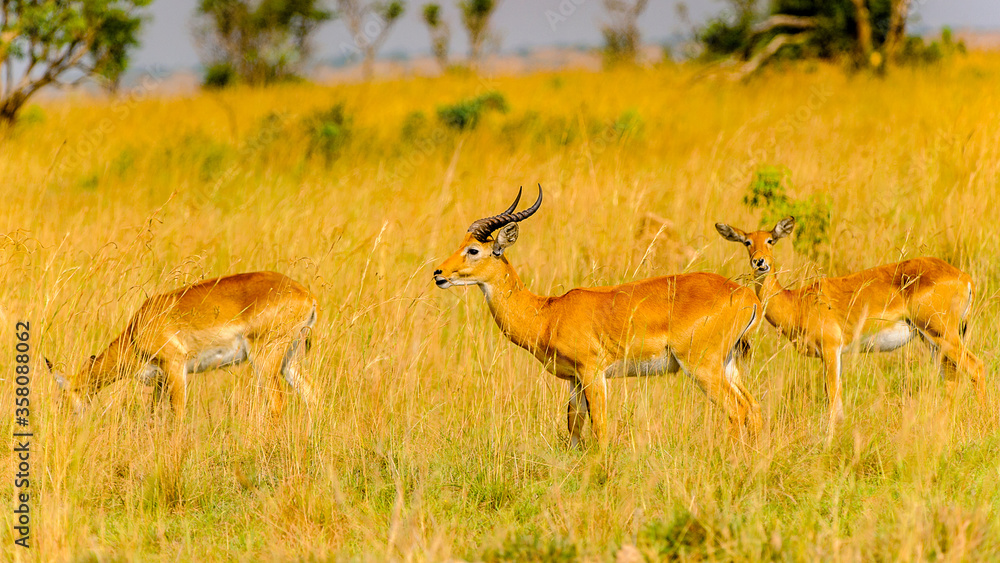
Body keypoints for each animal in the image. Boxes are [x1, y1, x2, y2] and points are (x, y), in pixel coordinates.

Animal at [46, 271, 318, 419]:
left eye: (63, 399)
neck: (138, 329)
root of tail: (307, 295)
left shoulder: (176, 368)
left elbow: (177, 413)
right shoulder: (159, 380)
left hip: (265, 359)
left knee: (277, 402)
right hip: (288, 361)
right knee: (311, 393)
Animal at [434, 186, 763, 449]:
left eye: (473, 250)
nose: (439, 273)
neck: (548, 313)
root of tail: (745, 294)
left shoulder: (593, 373)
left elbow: (600, 428)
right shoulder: (574, 380)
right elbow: (574, 427)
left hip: (701, 366)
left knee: (737, 410)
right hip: (728, 365)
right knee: (754, 408)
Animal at [716, 217, 986, 439]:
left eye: (770, 240)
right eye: (747, 242)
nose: (759, 262)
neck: (798, 302)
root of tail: (964, 277)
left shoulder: (830, 349)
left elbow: (832, 395)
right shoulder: (838, 355)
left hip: (942, 334)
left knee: (976, 366)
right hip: (932, 340)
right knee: (951, 378)